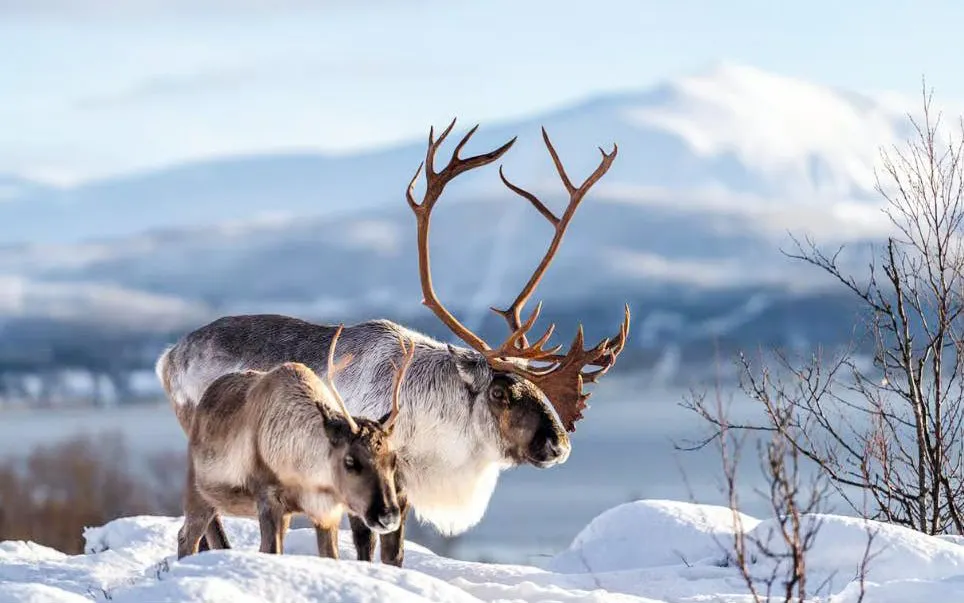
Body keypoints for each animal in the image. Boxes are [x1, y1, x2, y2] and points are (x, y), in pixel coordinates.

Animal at [176, 325, 414, 560]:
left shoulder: (326, 514)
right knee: (186, 537)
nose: (388, 516)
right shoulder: (268, 500)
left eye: (393, 460)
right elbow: (271, 550)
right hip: (199, 492)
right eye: (350, 461)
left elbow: (330, 555)